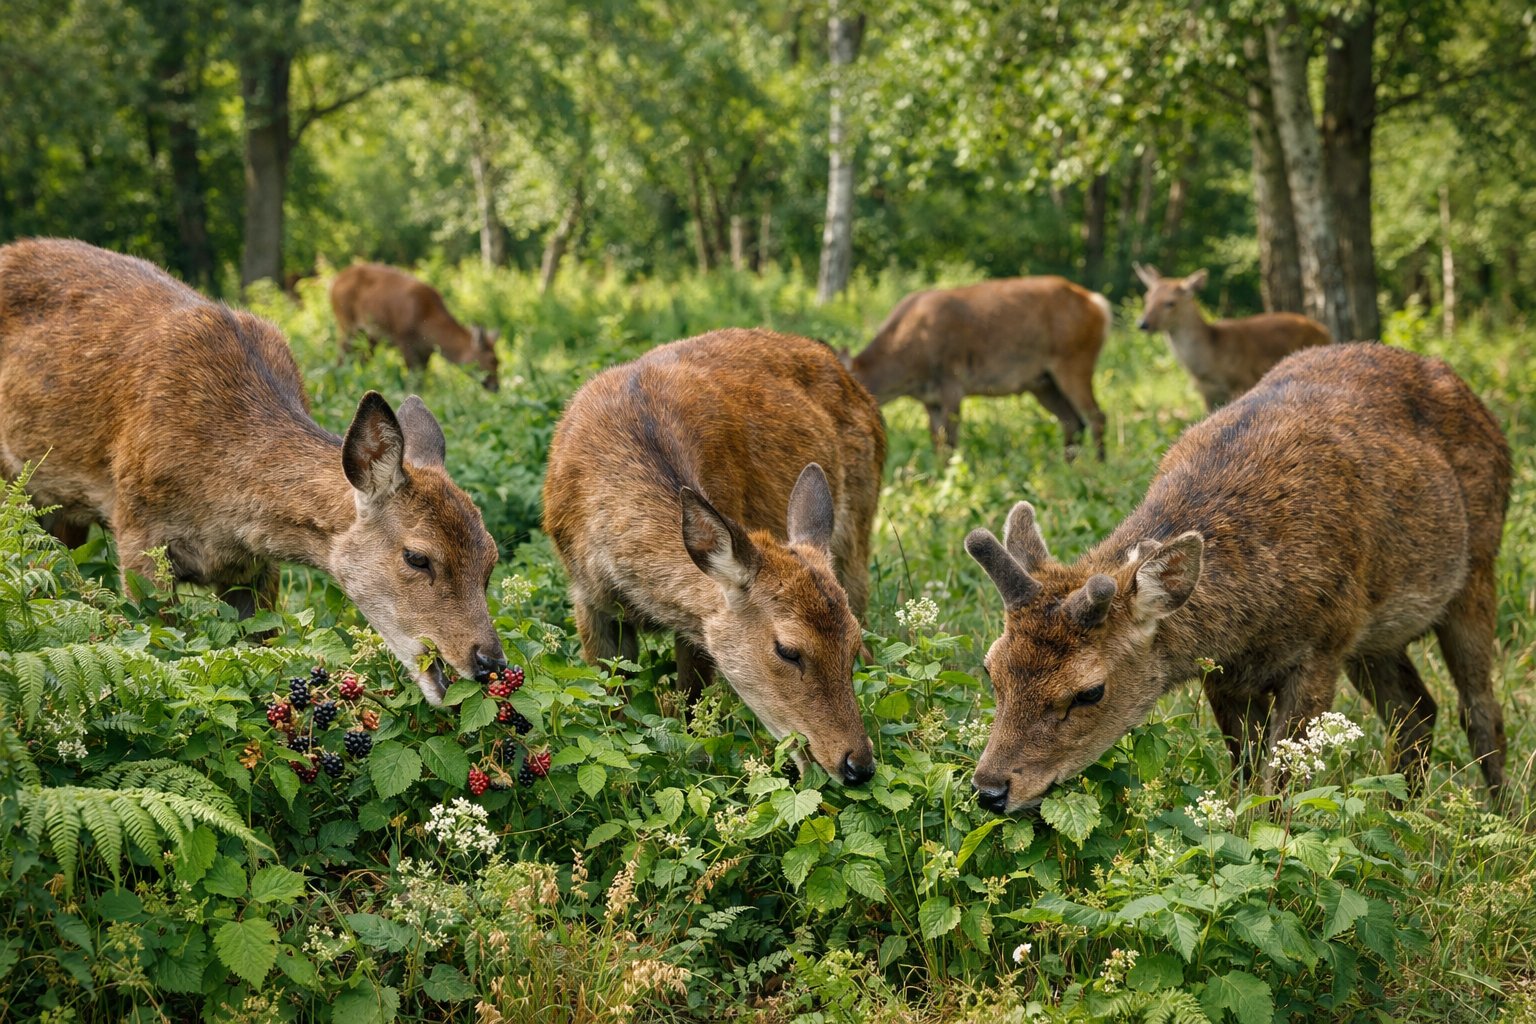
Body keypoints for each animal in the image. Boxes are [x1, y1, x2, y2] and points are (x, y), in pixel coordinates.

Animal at [331, 262, 500, 392]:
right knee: (341, 358)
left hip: (369, 337)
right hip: (346, 324)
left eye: (498, 361)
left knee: (359, 360)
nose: (496, 387)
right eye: (492, 360)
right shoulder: (403, 339)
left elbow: (421, 380)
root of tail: (334, 282)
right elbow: (413, 379)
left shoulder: (426, 351)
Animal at [543, 328, 886, 785]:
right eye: (788, 650)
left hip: (860, 531)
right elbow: (610, 705)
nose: (857, 765)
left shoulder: (699, 627)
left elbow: (691, 706)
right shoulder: (587, 597)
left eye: (850, 647)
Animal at [840, 277, 1111, 459]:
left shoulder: (952, 380)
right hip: (1042, 382)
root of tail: (1099, 305)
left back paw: (1099, 465)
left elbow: (950, 441)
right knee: (1072, 421)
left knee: (1096, 415)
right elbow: (936, 441)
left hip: (1075, 360)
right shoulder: (929, 398)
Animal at [964, 342, 1509, 814]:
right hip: (1375, 634)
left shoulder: (1322, 645)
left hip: (1476, 570)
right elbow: (1245, 778)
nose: (990, 790)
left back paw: (1504, 818)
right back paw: (1403, 815)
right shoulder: (1224, 672)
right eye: (992, 669)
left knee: (1480, 711)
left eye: (1090, 691)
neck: (1254, 607)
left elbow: (1282, 785)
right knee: (1417, 713)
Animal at [1134, 264, 1331, 411]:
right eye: (1147, 297)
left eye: (1170, 303)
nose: (1143, 323)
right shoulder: (1205, 392)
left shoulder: (1242, 381)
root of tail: (1324, 329)